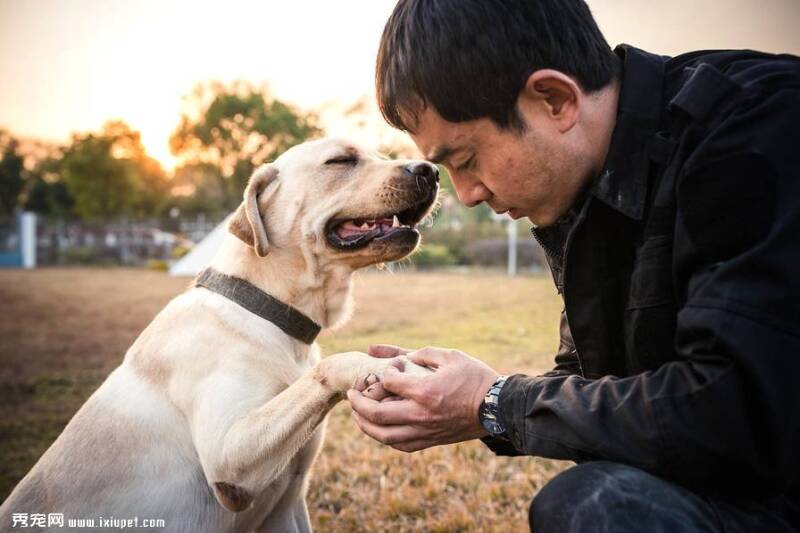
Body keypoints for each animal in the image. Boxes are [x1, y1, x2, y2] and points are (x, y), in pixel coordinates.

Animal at [0, 138, 438, 532]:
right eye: (341, 161)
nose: (430, 170)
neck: (268, 312)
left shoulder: (288, 506)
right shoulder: (230, 464)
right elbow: (331, 364)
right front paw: (382, 365)